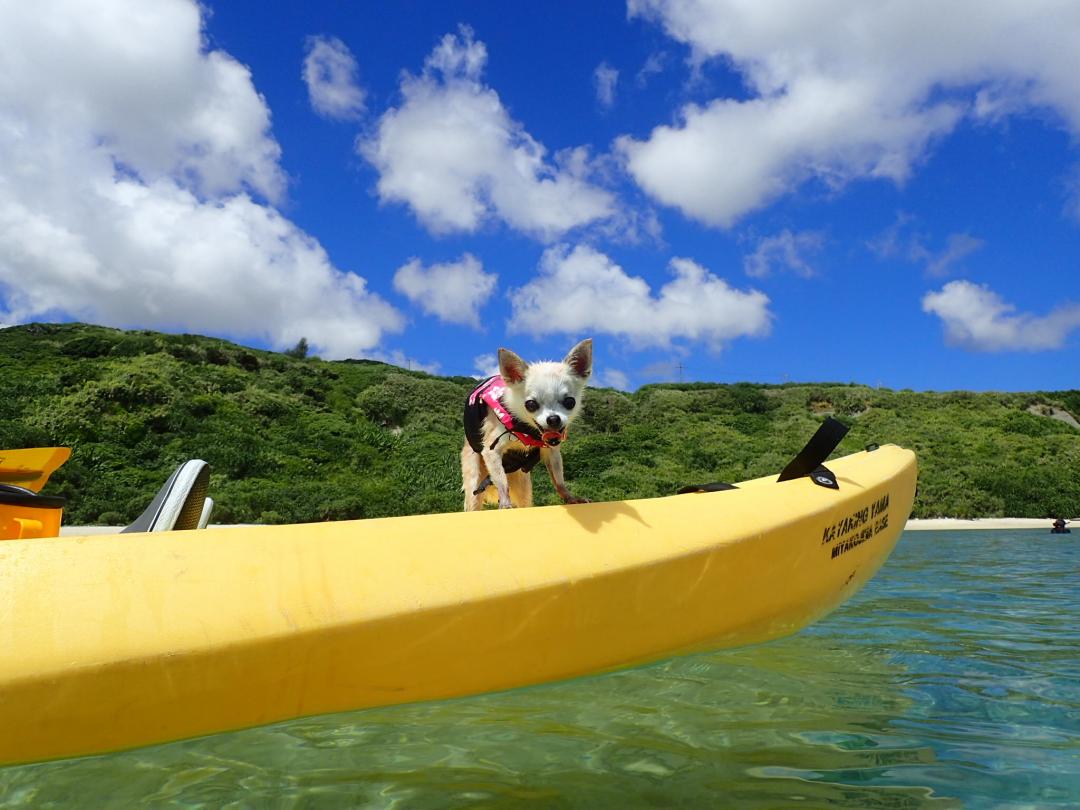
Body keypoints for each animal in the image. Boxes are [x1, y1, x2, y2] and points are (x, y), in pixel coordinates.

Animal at [460, 339, 596, 509]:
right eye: (531, 404)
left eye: (570, 402)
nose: (553, 419)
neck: (526, 428)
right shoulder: (491, 450)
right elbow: (502, 482)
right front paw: (505, 503)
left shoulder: (552, 452)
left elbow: (559, 480)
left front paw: (570, 497)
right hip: (474, 476)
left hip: (524, 484)